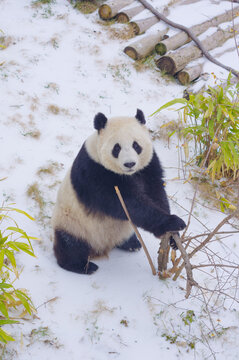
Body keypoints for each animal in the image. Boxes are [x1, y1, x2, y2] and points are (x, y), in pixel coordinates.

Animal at [52, 108, 186, 274]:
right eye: (117, 148)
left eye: (136, 145)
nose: (130, 164)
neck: (128, 174)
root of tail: (102, 246)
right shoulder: (93, 171)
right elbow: (124, 204)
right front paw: (173, 222)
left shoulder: (148, 166)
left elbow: (156, 192)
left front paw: (173, 237)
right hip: (73, 223)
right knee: (70, 244)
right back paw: (82, 266)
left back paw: (132, 244)